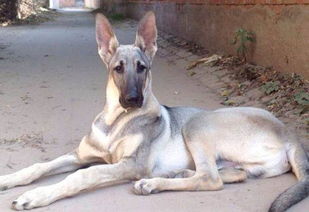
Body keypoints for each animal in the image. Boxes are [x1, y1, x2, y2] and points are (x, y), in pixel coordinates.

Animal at [0, 12, 306, 212]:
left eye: (142, 68)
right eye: (118, 68)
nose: (134, 99)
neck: (115, 121)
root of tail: (291, 134)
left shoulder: (131, 164)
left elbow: (83, 175)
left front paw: (36, 196)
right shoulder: (81, 155)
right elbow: (40, 166)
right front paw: (8, 180)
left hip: (197, 124)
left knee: (210, 179)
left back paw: (152, 184)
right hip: (237, 161)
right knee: (231, 175)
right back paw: (174, 175)